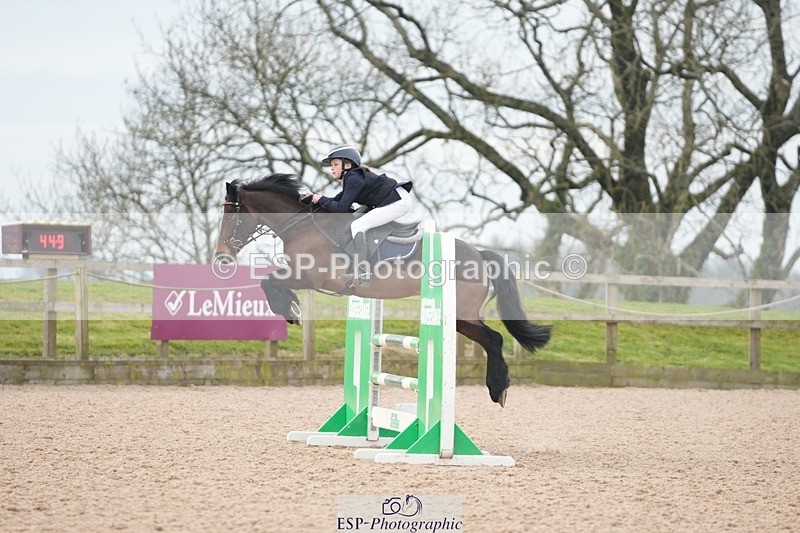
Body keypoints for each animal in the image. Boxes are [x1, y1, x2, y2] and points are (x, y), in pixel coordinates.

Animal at [213, 173, 551, 407]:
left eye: (231, 216)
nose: (221, 258)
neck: (301, 226)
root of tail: (480, 255)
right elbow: (269, 281)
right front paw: (291, 308)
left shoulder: (312, 278)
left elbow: (269, 281)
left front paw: (291, 309)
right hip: (461, 317)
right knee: (492, 339)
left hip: (460, 314)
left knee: (493, 339)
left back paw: (498, 389)